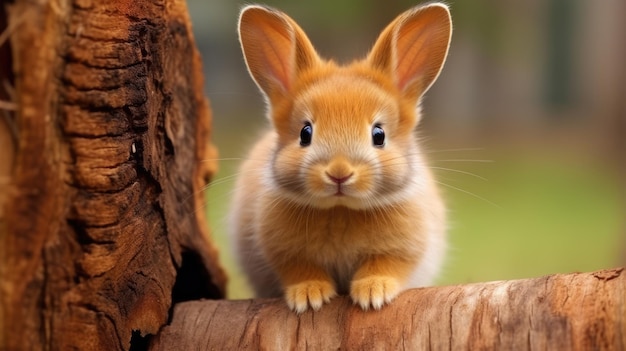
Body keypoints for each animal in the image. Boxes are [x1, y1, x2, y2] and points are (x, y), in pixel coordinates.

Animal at [228, 0, 448, 314]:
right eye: (305, 133)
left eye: (379, 135)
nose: (339, 173)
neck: (341, 208)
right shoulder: (286, 255)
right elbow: (302, 270)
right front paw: (309, 296)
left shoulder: (402, 251)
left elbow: (384, 266)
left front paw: (373, 293)